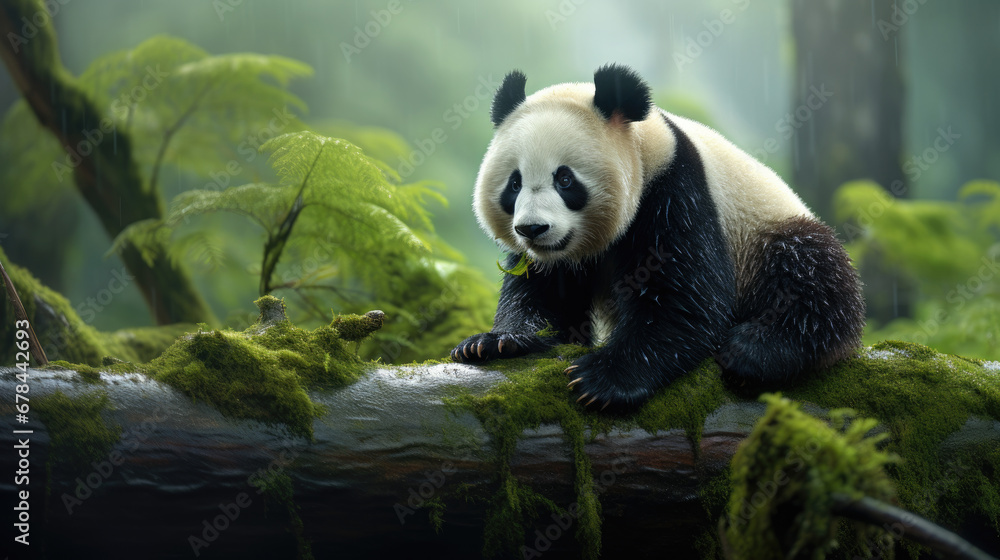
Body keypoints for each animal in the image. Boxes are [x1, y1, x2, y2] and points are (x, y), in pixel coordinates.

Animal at [451, 64, 865, 411]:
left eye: (564, 179)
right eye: (514, 183)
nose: (533, 229)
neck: (646, 146)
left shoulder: (675, 190)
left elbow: (683, 298)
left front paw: (603, 379)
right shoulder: (555, 260)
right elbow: (542, 296)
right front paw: (495, 342)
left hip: (766, 232)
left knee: (812, 279)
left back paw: (754, 351)